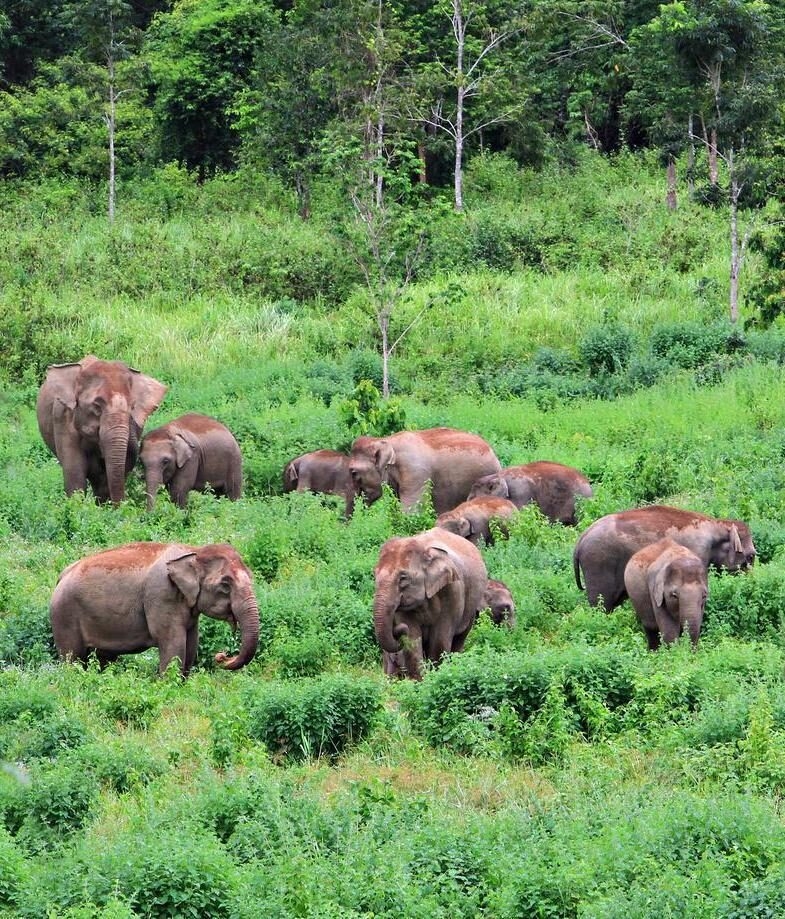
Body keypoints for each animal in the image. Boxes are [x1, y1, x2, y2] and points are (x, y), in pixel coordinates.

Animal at [50, 542, 260, 677]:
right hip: (64, 615)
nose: (221, 656)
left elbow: (191, 644)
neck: (194, 551)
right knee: (72, 658)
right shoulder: (162, 595)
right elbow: (173, 643)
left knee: (104, 658)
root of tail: (61, 576)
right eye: (225, 585)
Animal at [374, 527, 488, 680]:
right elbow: (412, 637)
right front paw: (417, 681)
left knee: (460, 638)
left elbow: (440, 638)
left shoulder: (452, 590)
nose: (398, 629)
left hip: (471, 607)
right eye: (374, 575)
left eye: (403, 578)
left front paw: (436, 676)